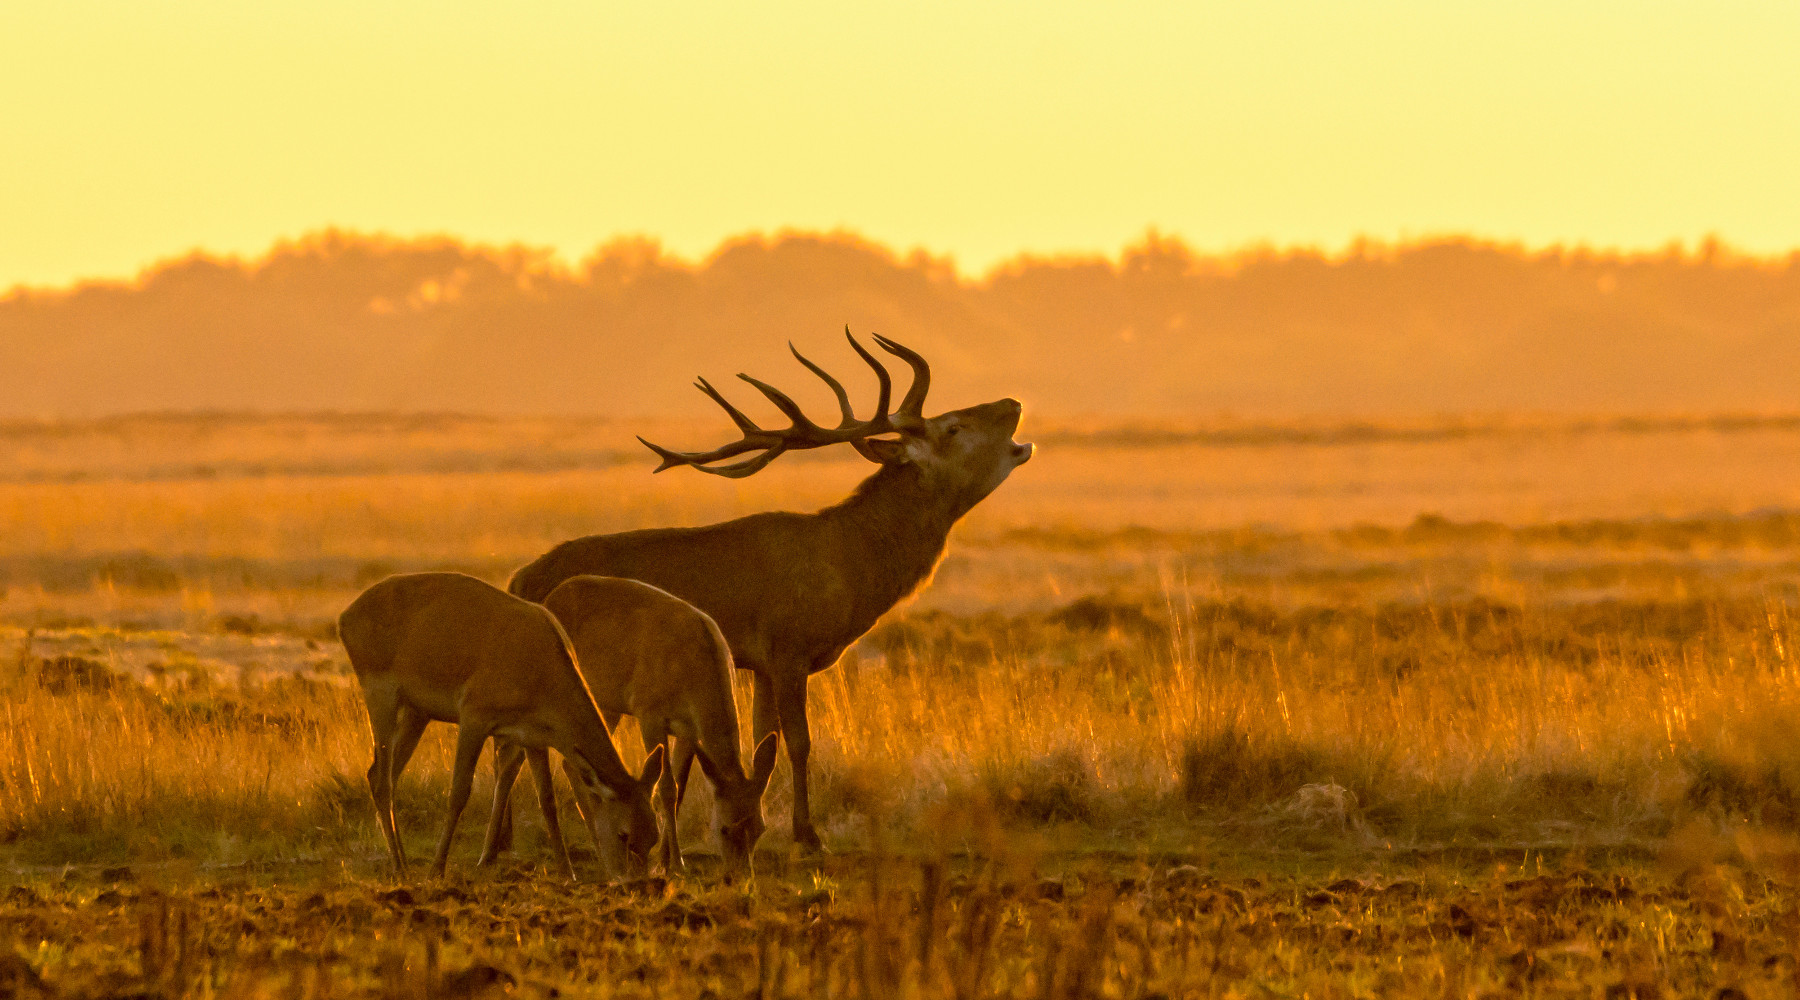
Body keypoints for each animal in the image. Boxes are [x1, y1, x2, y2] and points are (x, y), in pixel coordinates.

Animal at [338, 571, 665, 881]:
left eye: (654, 835)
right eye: (624, 834)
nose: (634, 880)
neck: (541, 675)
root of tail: (345, 618)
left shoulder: (533, 737)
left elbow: (547, 800)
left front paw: (567, 872)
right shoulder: (473, 716)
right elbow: (459, 792)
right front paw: (437, 870)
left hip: (417, 712)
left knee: (381, 773)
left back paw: (403, 861)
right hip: (380, 693)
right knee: (382, 780)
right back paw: (401, 868)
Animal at [479, 575, 780, 877]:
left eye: (760, 829)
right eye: (725, 828)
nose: (740, 874)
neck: (696, 672)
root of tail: (550, 599)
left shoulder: (689, 731)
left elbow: (678, 784)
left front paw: (665, 859)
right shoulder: (650, 712)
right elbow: (667, 788)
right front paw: (676, 864)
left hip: (605, 703)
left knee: (567, 764)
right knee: (510, 760)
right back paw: (487, 855)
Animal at [506, 330, 1033, 852]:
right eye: (953, 426)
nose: (1013, 401)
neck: (853, 566)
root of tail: (520, 580)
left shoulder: (758, 664)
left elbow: (765, 740)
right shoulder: (788, 648)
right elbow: (799, 742)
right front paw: (807, 834)